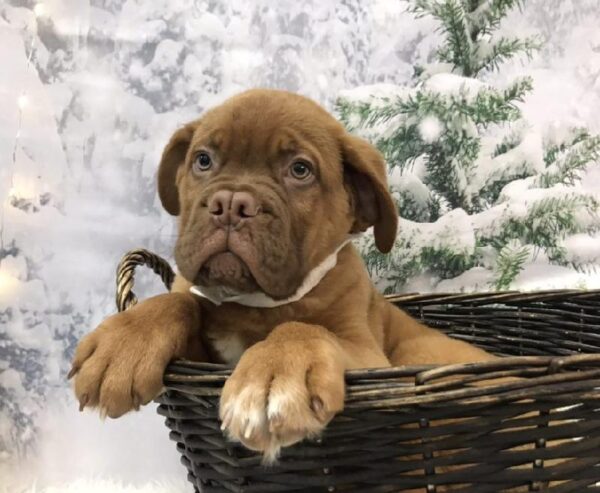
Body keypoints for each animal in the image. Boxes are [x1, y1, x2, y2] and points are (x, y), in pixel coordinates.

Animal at [70, 88, 494, 462]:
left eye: (300, 170)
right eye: (203, 160)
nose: (231, 204)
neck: (252, 305)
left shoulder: (370, 356)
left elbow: (305, 328)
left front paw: (274, 375)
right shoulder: (201, 355)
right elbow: (177, 301)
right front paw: (126, 340)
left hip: (417, 352)